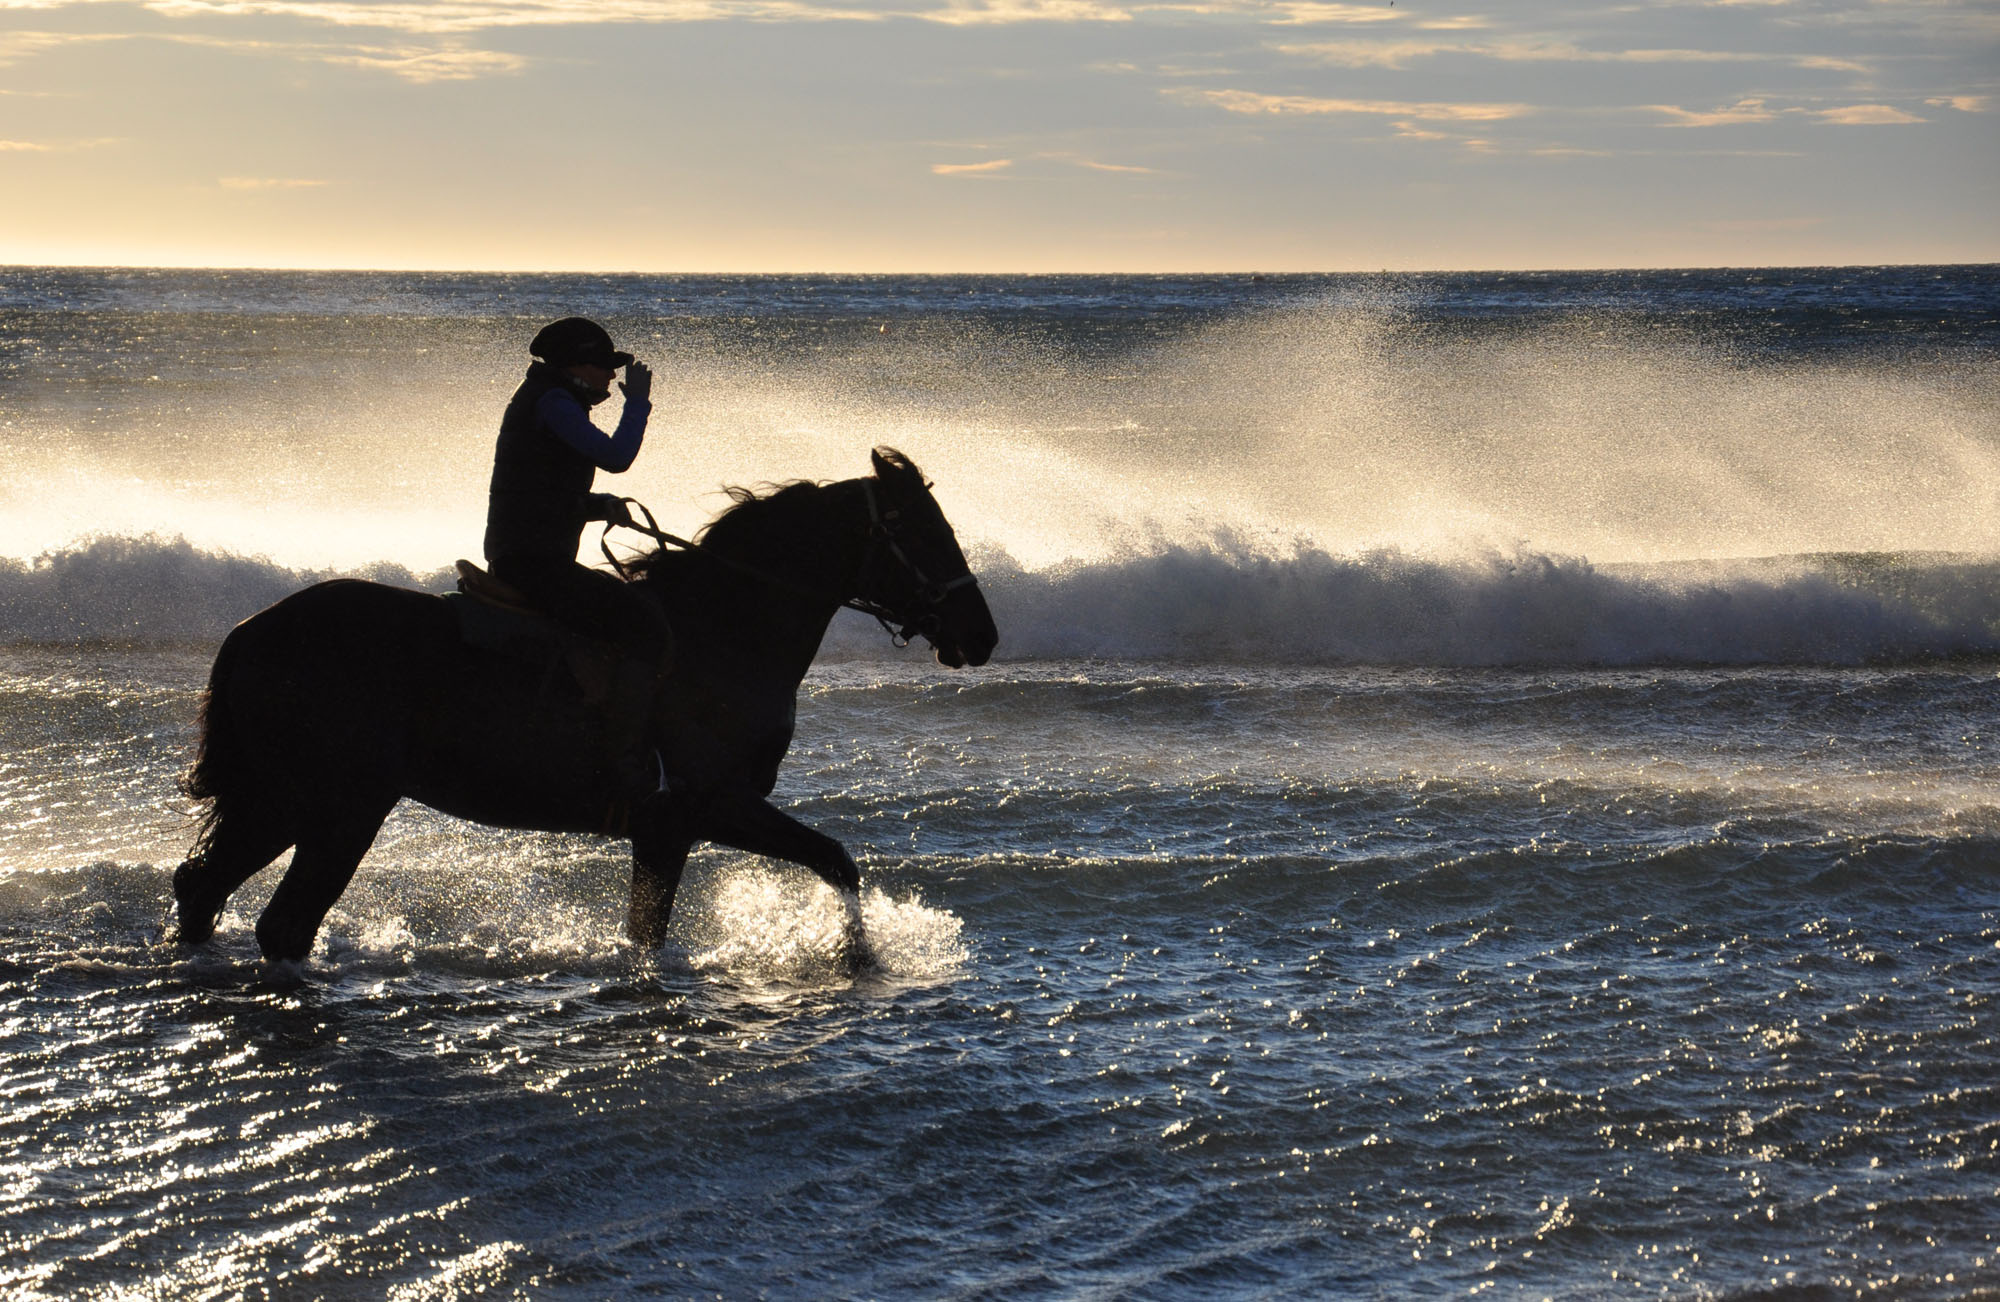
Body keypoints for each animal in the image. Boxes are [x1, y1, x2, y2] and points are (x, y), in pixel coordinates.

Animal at [176, 448, 1000, 968]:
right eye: (923, 532)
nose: (981, 635)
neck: (724, 629)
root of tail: (254, 630)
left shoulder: (691, 823)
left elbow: (832, 862)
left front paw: (858, 954)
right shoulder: (696, 813)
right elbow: (804, 871)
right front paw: (857, 955)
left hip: (283, 800)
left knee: (202, 887)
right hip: (341, 807)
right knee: (283, 921)